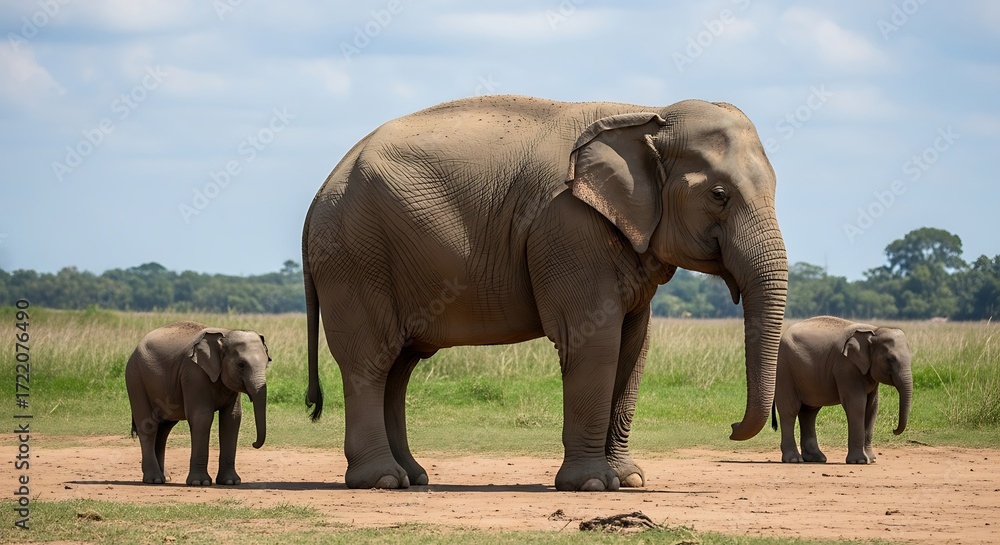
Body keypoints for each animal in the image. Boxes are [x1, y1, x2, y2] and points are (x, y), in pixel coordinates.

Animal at [125, 321, 270, 485]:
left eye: (267, 364)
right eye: (241, 364)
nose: (254, 444)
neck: (226, 333)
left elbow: (232, 419)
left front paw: (230, 482)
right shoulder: (194, 373)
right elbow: (202, 417)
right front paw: (200, 483)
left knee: (164, 429)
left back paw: (165, 478)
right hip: (135, 379)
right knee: (149, 426)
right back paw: (154, 479)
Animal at [302, 94, 788, 491]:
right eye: (719, 194)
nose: (731, 426)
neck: (648, 113)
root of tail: (319, 194)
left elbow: (634, 347)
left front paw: (630, 480)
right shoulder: (568, 226)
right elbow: (594, 341)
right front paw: (593, 485)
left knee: (400, 367)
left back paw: (414, 476)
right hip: (355, 257)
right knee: (372, 360)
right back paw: (382, 479)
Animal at [772, 316, 913, 464]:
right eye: (890, 360)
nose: (893, 430)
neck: (874, 330)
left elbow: (872, 407)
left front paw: (871, 459)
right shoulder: (846, 367)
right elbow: (856, 405)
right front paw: (860, 461)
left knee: (809, 412)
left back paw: (816, 458)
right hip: (784, 370)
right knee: (790, 409)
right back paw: (794, 459)